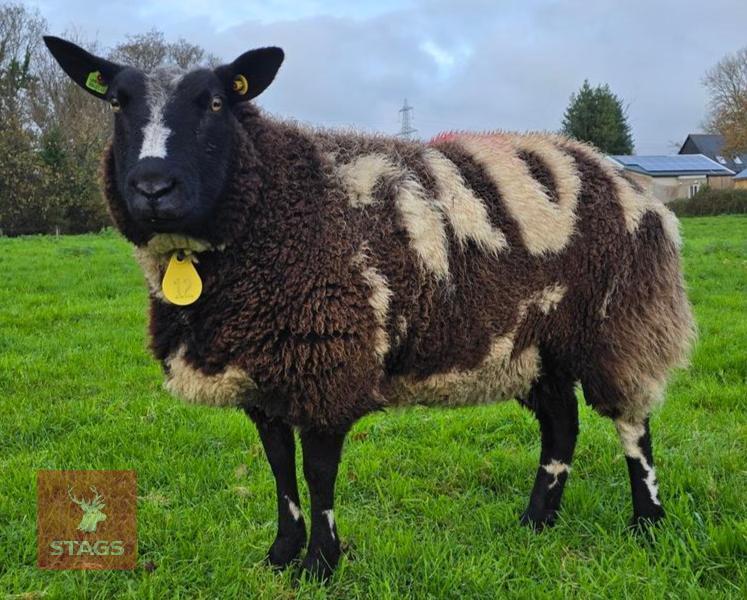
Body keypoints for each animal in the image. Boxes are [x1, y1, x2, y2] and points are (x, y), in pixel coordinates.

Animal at [45, 36, 695, 580]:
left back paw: (646, 523)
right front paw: (280, 555)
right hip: (538, 340)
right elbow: (278, 467)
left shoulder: (327, 359)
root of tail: (612, 170)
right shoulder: (262, 369)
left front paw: (319, 564)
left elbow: (317, 471)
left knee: (632, 423)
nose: (153, 187)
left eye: (215, 101)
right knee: (562, 425)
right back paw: (536, 521)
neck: (277, 208)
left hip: (618, 320)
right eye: (116, 102)